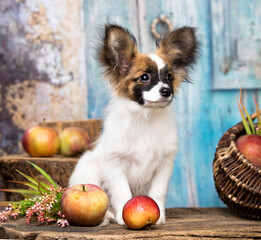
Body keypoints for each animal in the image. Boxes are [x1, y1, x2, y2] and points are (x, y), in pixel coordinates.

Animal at [68, 24, 198, 225]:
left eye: (169, 77)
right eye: (144, 77)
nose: (166, 91)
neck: (145, 118)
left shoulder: (164, 165)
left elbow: (157, 193)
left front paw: (159, 216)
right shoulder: (115, 164)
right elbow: (122, 193)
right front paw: (122, 216)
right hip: (89, 171)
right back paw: (107, 215)